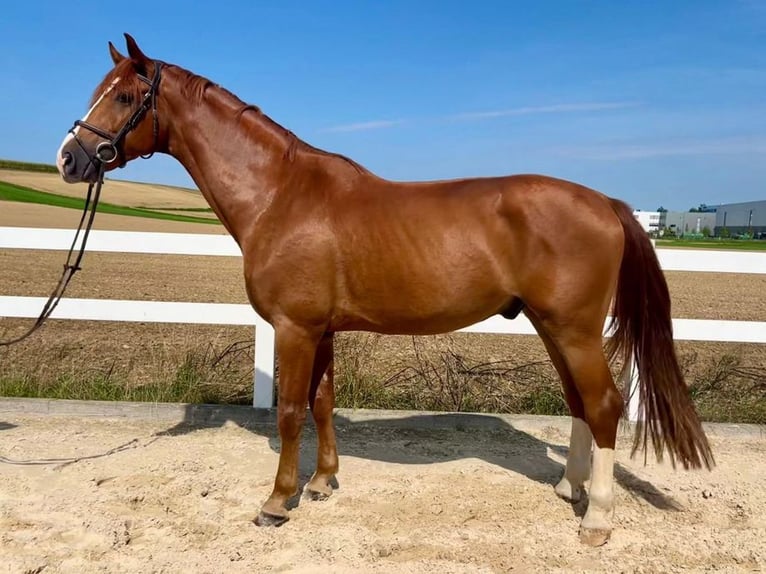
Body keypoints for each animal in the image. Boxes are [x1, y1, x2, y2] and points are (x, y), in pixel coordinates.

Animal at [57, 33, 716, 548]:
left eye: (123, 96)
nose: (68, 159)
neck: (279, 195)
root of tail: (605, 201)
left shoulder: (294, 328)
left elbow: (291, 412)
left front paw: (277, 502)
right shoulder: (320, 329)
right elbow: (322, 404)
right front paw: (322, 483)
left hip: (573, 329)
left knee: (603, 404)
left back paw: (597, 519)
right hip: (552, 327)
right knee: (581, 403)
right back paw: (567, 489)